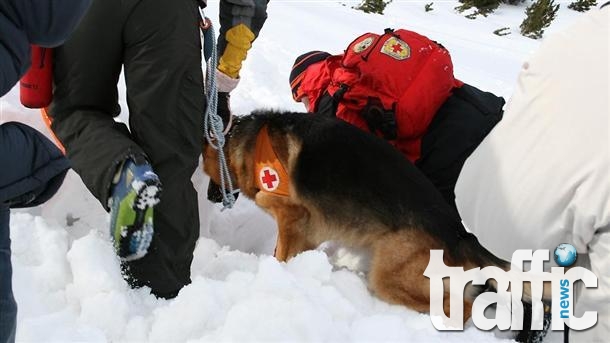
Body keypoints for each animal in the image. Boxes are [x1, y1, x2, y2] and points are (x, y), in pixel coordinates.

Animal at [202, 111, 548, 338]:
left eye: (206, 171)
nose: (210, 197)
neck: (246, 138)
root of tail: (462, 234)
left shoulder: (291, 216)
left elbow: (281, 254)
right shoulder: (307, 234)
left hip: (390, 275)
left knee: (461, 306)